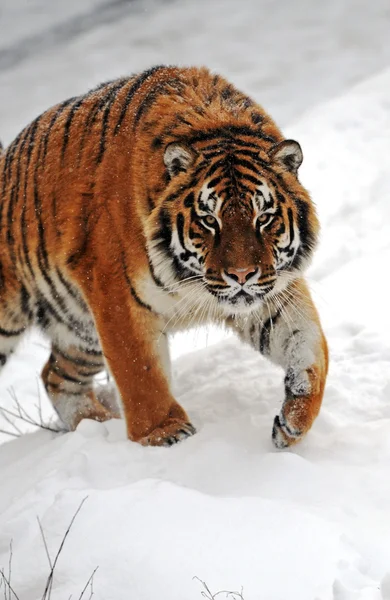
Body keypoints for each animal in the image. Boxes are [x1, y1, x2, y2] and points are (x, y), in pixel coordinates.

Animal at [0, 67, 330, 450]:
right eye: (209, 220)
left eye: (263, 218)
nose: (241, 274)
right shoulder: (117, 299)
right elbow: (140, 374)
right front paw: (165, 435)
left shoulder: (272, 291)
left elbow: (312, 348)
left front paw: (293, 420)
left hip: (78, 327)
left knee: (56, 375)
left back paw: (95, 425)